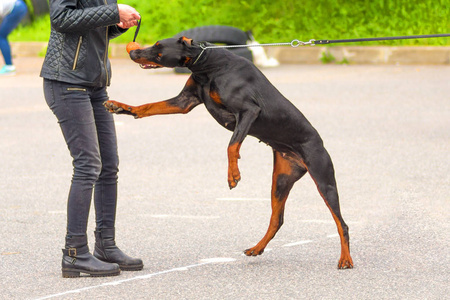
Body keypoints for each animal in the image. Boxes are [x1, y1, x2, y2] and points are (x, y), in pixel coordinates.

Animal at [103, 36, 354, 268]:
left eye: (158, 46)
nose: (132, 52)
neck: (207, 65)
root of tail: (318, 142)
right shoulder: (185, 101)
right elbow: (147, 107)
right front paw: (120, 106)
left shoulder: (248, 110)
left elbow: (232, 145)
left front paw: (233, 175)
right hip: (280, 179)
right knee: (277, 220)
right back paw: (257, 247)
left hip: (323, 178)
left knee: (341, 223)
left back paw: (345, 259)